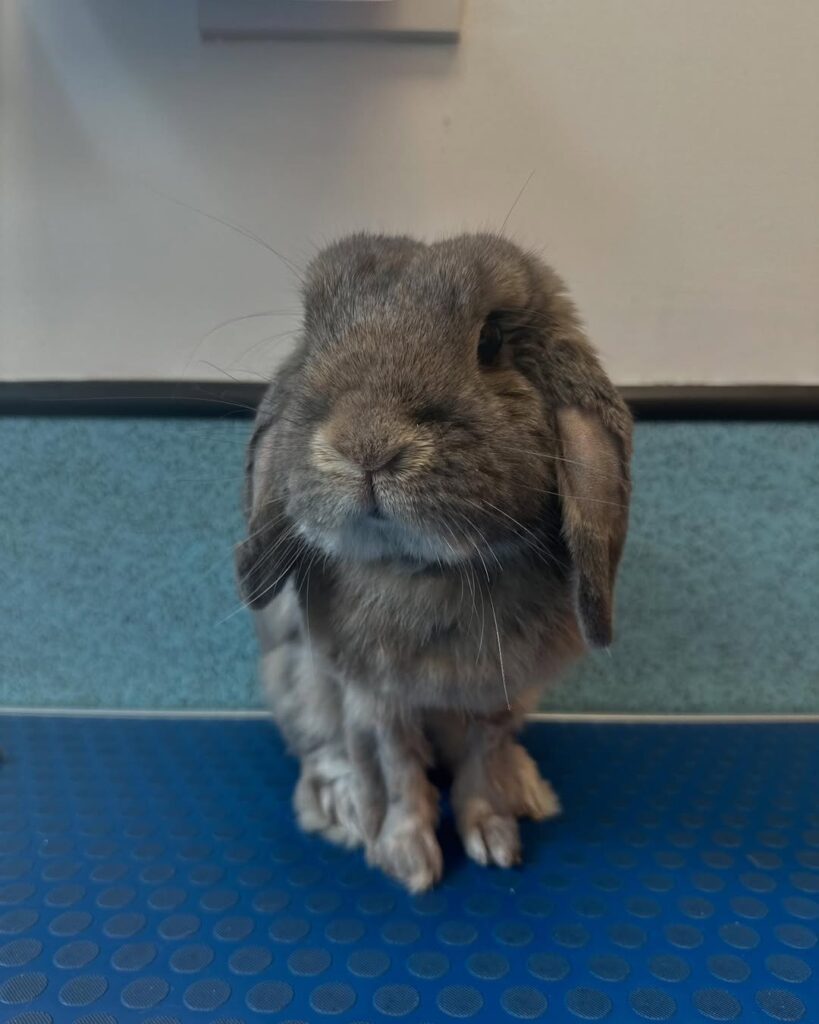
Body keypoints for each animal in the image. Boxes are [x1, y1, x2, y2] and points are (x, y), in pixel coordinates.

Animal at [237, 233, 632, 891]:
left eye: (490, 342)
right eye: (313, 337)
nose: (366, 444)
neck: (427, 570)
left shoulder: (497, 697)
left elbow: (481, 765)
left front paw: (495, 836)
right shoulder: (374, 700)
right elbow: (396, 773)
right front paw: (407, 859)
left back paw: (527, 787)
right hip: (294, 678)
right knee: (321, 751)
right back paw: (342, 807)